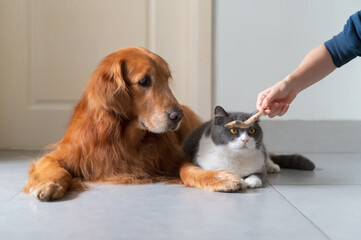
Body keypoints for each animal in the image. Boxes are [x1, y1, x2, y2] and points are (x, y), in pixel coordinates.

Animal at [181, 106, 314, 190]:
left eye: (252, 130)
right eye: (233, 130)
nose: (245, 140)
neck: (237, 158)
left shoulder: (260, 165)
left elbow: (259, 174)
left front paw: (251, 181)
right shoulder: (206, 165)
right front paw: (237, 180)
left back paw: (273, 166)